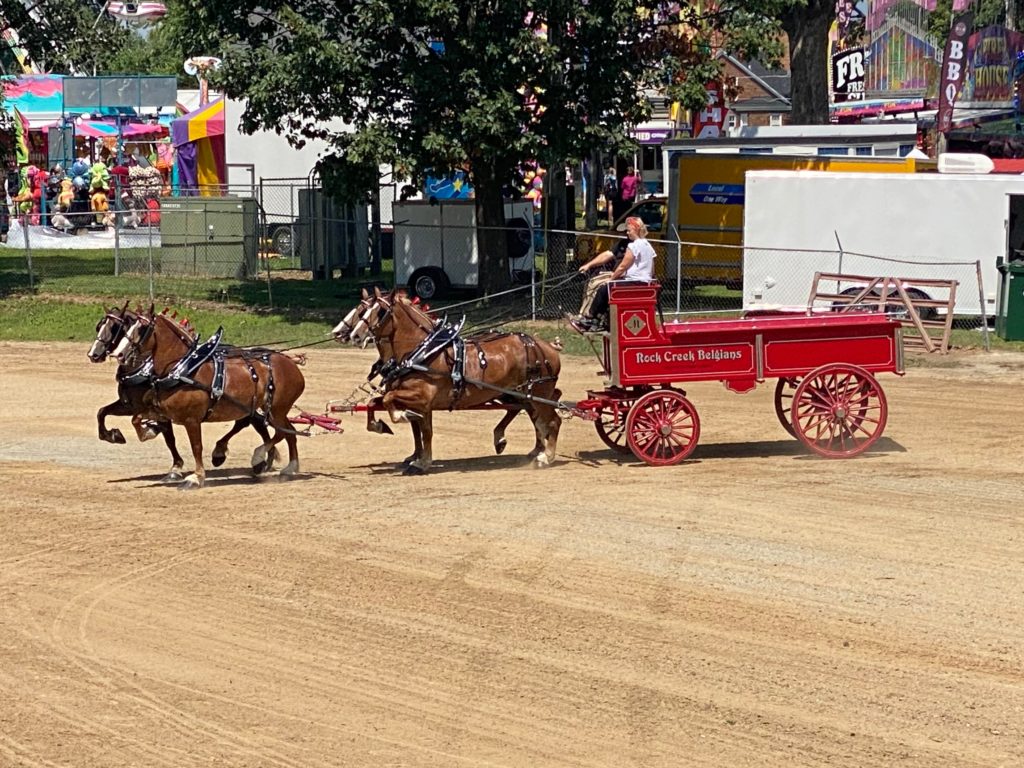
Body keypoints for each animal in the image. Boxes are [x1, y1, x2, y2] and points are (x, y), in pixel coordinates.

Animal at [113, 305, 303, 487]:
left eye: (142, 328)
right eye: (129, 326)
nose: (119, 354)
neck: (183, 369)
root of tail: (290, 362)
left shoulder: (192, 419)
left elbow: (196, 446)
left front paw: (196, 478)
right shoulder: (164, 412)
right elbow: (136, 419)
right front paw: (150, 431)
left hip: (277, 409)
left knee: (282, 431)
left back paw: (258, 457)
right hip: (272, 410)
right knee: (289, 431)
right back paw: (289, 467)